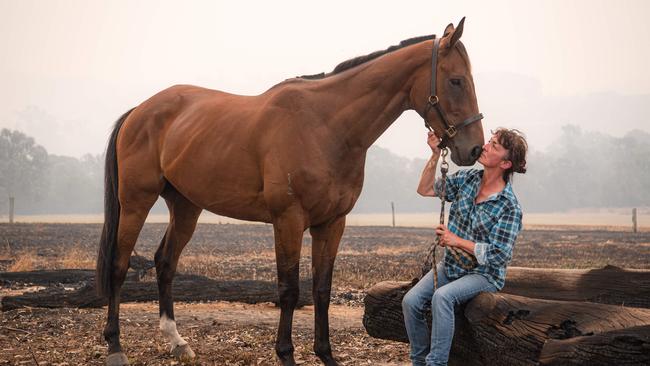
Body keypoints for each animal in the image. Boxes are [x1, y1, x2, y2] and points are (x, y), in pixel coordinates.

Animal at [95, 17, 480, 366]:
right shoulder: (289, 220)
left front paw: (326, 355)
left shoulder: (332, 223)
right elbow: (289, 288)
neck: (325, 126)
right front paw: (286, 354)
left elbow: (321, 289)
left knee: (165, 263)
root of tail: (140, 111)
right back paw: (115, 346)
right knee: (119, 264)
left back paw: (178, 342)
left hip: (186, 207)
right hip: (136, 202)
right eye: (456, 81)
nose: (473, 149)